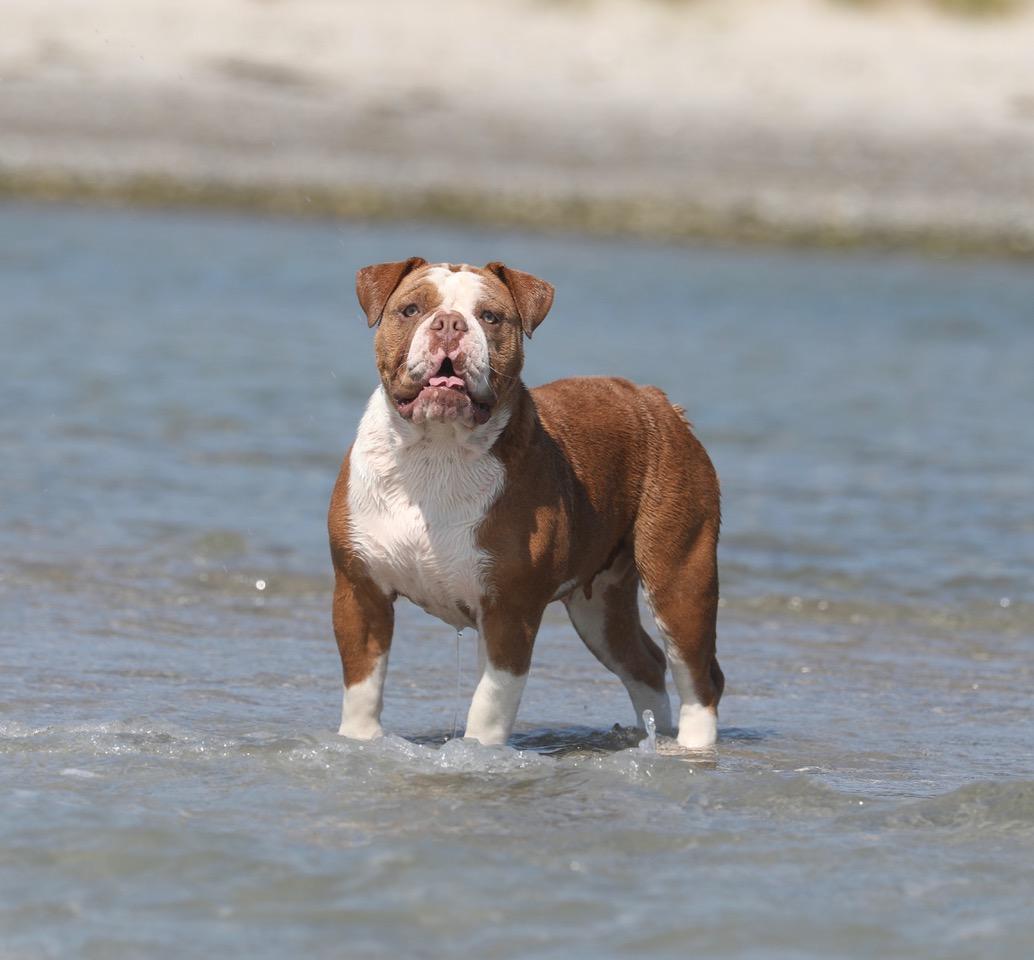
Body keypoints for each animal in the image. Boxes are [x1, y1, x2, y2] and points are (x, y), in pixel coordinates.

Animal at [326, 256, 723, 748]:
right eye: (411, 309)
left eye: (491, 317)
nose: (449, 323)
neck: (437, 451)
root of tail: (656, 401)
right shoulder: (359, 591)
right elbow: (362, 689)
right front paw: (358, 745)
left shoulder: (508, 610)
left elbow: (488, 706)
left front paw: (478, 755)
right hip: (601, 605)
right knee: (644, 662)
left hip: (680, 575)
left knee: (697, 672)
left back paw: (691, 748)